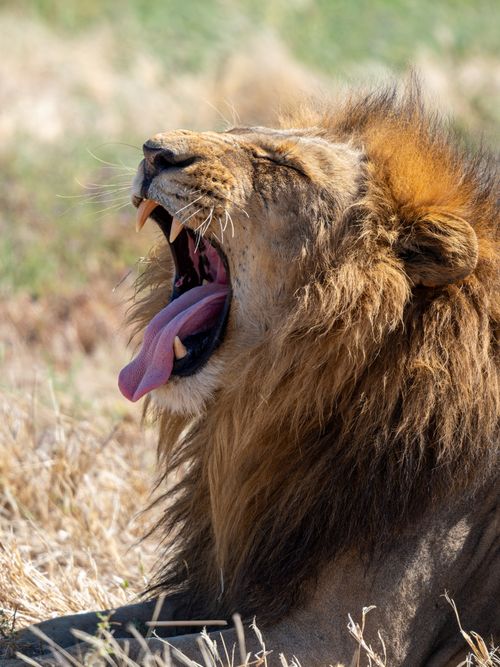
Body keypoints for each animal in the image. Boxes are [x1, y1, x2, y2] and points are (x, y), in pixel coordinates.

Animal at [10, 84, 499, 666]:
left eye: (281, 164)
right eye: (235, 135)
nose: (154, 152)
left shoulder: (340, 637)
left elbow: (113, 652)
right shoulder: (212, 590)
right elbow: (61, 631)